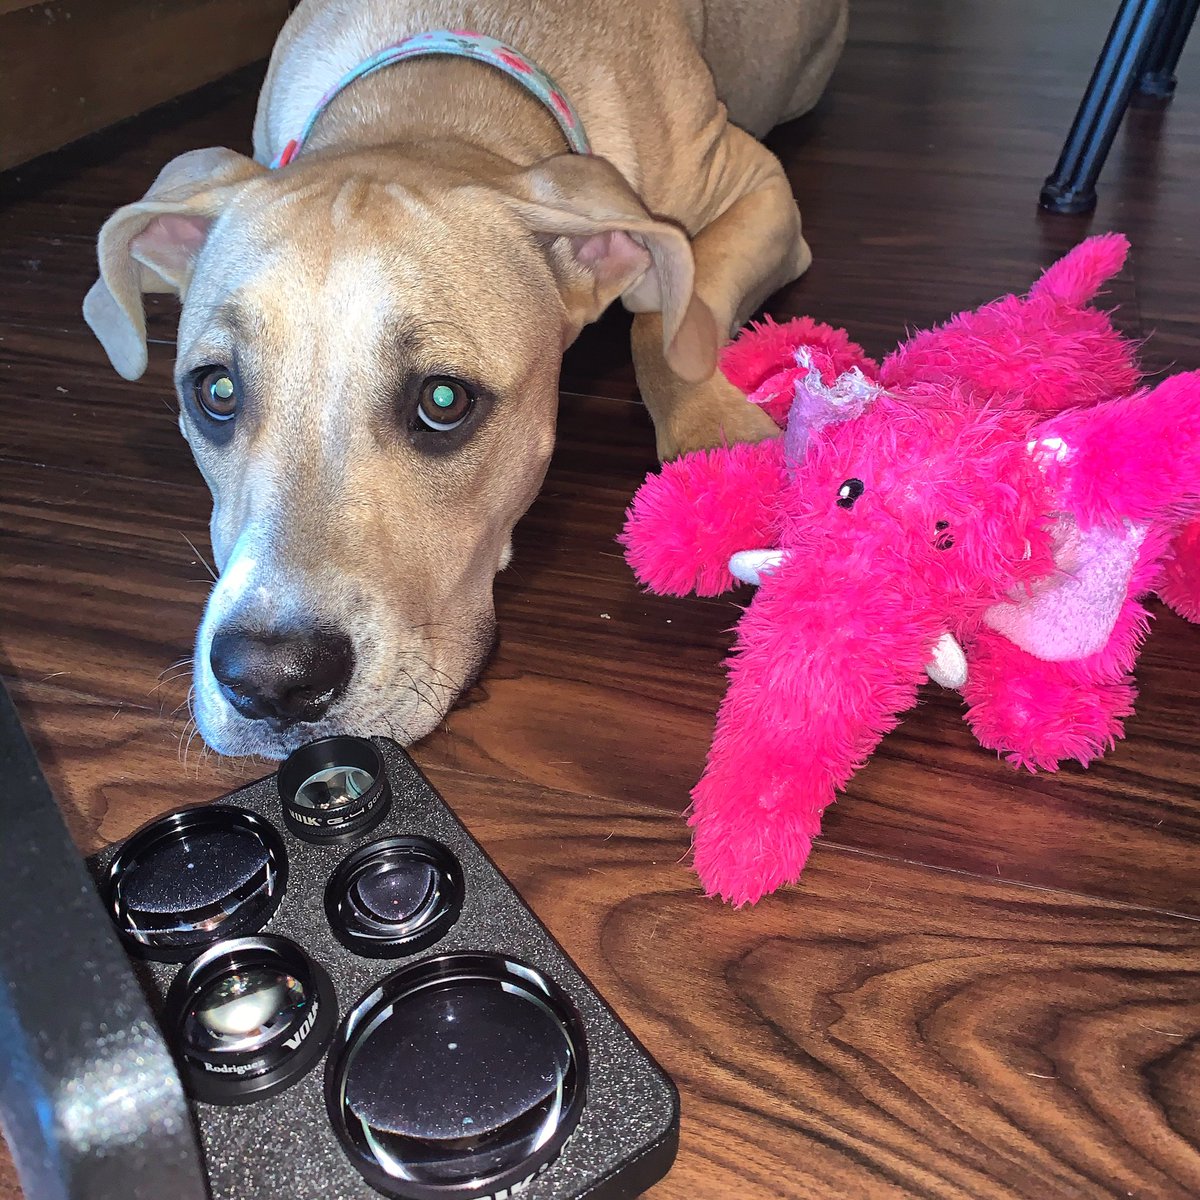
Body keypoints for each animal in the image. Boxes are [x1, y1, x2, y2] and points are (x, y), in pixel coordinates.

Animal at [82, 0, 844, 753]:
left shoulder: (758, 187)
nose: (270, 680)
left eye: (443, 400)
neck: (428, 92)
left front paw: (718, 442)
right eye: (216, 390)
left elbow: (662, 320)